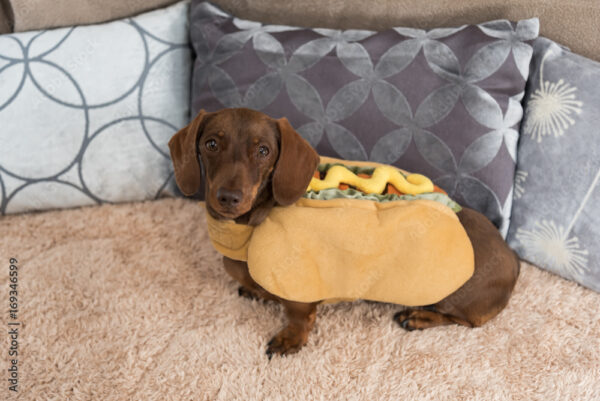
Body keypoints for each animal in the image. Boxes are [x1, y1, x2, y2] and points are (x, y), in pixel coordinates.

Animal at [169, 108, 520, 358]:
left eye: (264, 151)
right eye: (211, 143)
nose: (228, 197)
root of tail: (513, 261)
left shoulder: (301, 290)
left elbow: (298, 316)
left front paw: (290, 339)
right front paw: (257, 291)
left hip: (455, 298)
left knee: (466, 321)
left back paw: (421, 317)